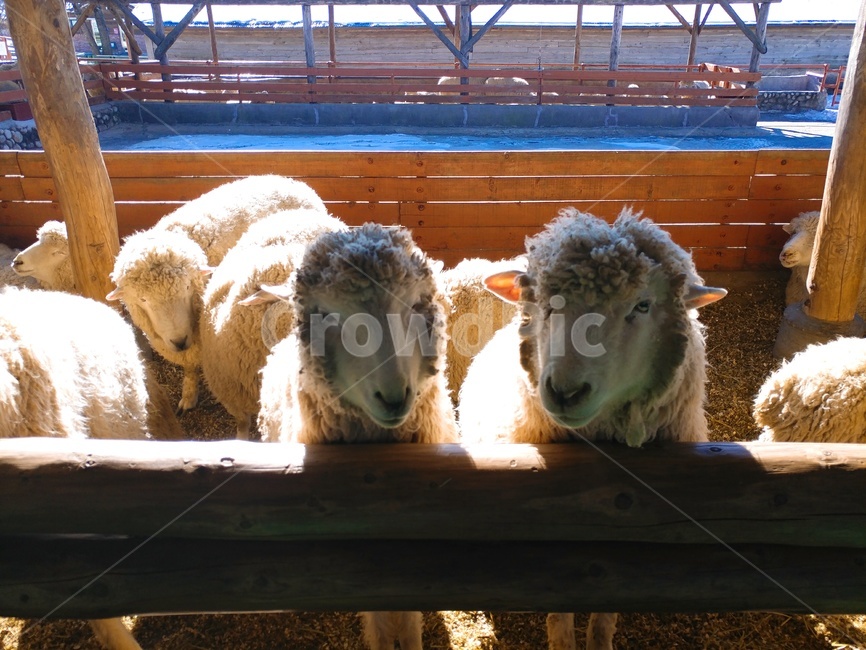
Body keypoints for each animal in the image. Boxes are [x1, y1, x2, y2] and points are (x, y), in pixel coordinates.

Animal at [106, 174, 328, 413]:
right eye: (143, 299)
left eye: (187, 288)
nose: (179, 340)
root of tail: (290, 180)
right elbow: (190, 369)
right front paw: (188, 395)